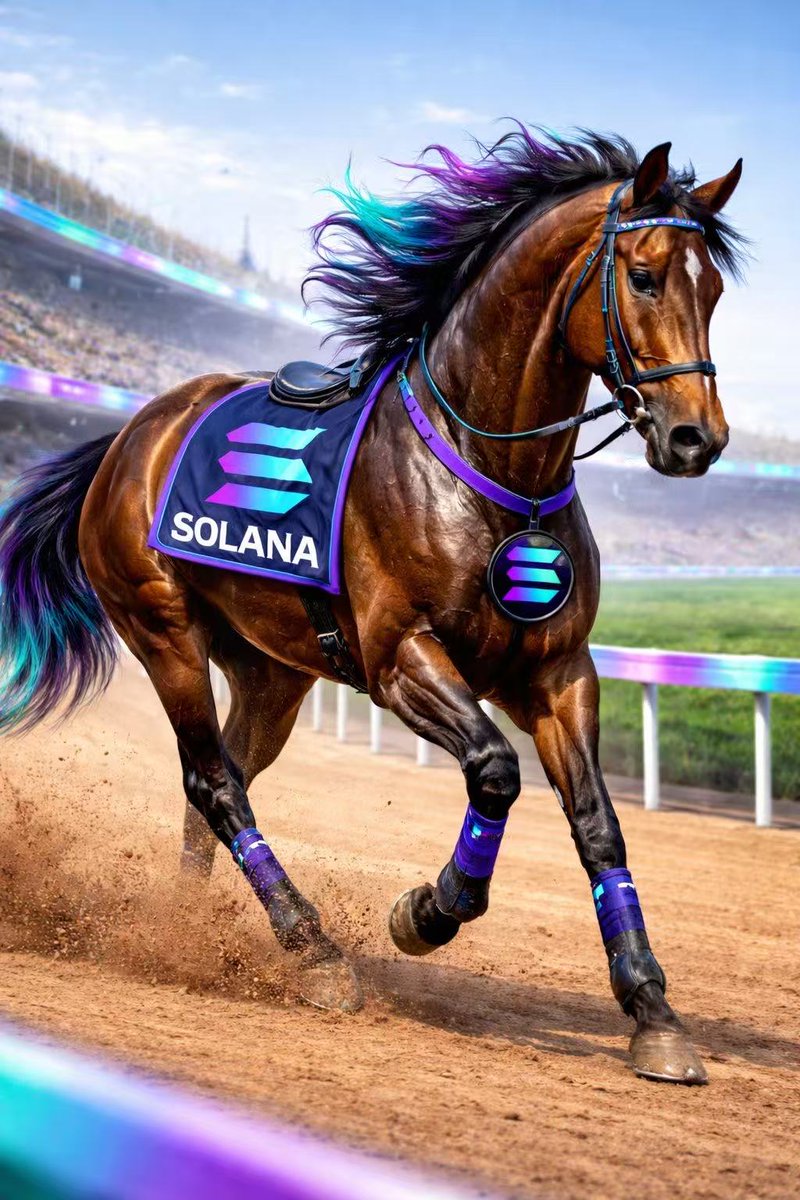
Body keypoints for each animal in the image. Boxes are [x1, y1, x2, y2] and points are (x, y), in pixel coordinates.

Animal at [0, 128, 745, 1084]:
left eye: (713, 287)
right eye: (645, 275)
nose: (697, 438)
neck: (490, 472)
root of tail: (131, 434)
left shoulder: (558, 671)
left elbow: (599, 826)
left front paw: (652, 1007)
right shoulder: (400, 659)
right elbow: (495, 773)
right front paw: (429, 909)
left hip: (272, 673)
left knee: (222, 781)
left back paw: (185, 930)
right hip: (163, 632)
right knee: (215, 783)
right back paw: (311, 949)